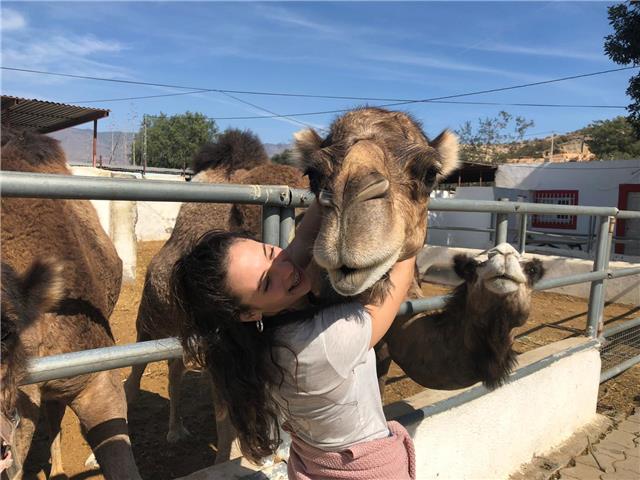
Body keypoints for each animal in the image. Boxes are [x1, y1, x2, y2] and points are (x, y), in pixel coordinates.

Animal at [124, 127, 308, 462]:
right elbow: (226, 418)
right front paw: (230, 459)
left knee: (175, 373)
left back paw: (176, 431)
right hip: (149, 322)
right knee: (133, 377)